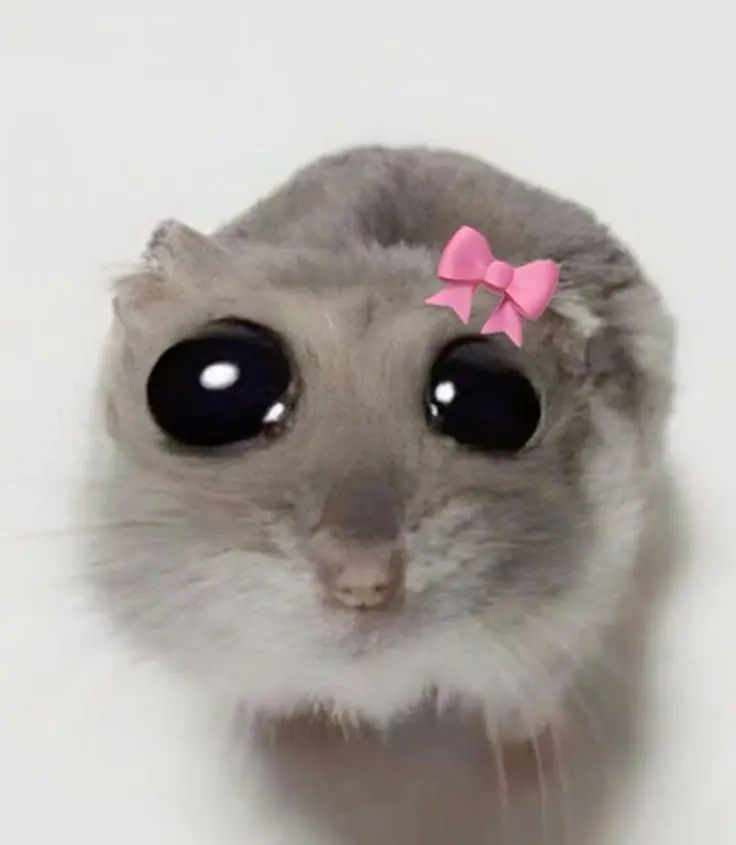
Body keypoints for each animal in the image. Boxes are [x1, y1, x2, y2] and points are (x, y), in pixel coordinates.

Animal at [90, 145, 674, 756]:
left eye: (490, 400)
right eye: (209, 386)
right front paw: (304, 741)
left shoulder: (575, 613)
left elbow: (526, 700)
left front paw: (531, 752)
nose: (363, 582)